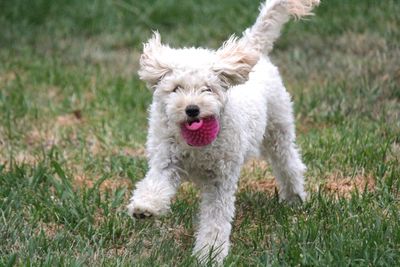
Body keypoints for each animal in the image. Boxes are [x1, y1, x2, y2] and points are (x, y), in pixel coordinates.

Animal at [127, 0, 318, 264]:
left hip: (277, 129)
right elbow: (156, 182)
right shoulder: (167, 160)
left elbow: (216, 218)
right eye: (176, 88)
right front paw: (145, 207)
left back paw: (294, 198)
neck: (196, 147)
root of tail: (254, 51)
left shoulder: (220, 179)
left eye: (207, 89)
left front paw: (209, 253)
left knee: (288, 163)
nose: (192, 109)